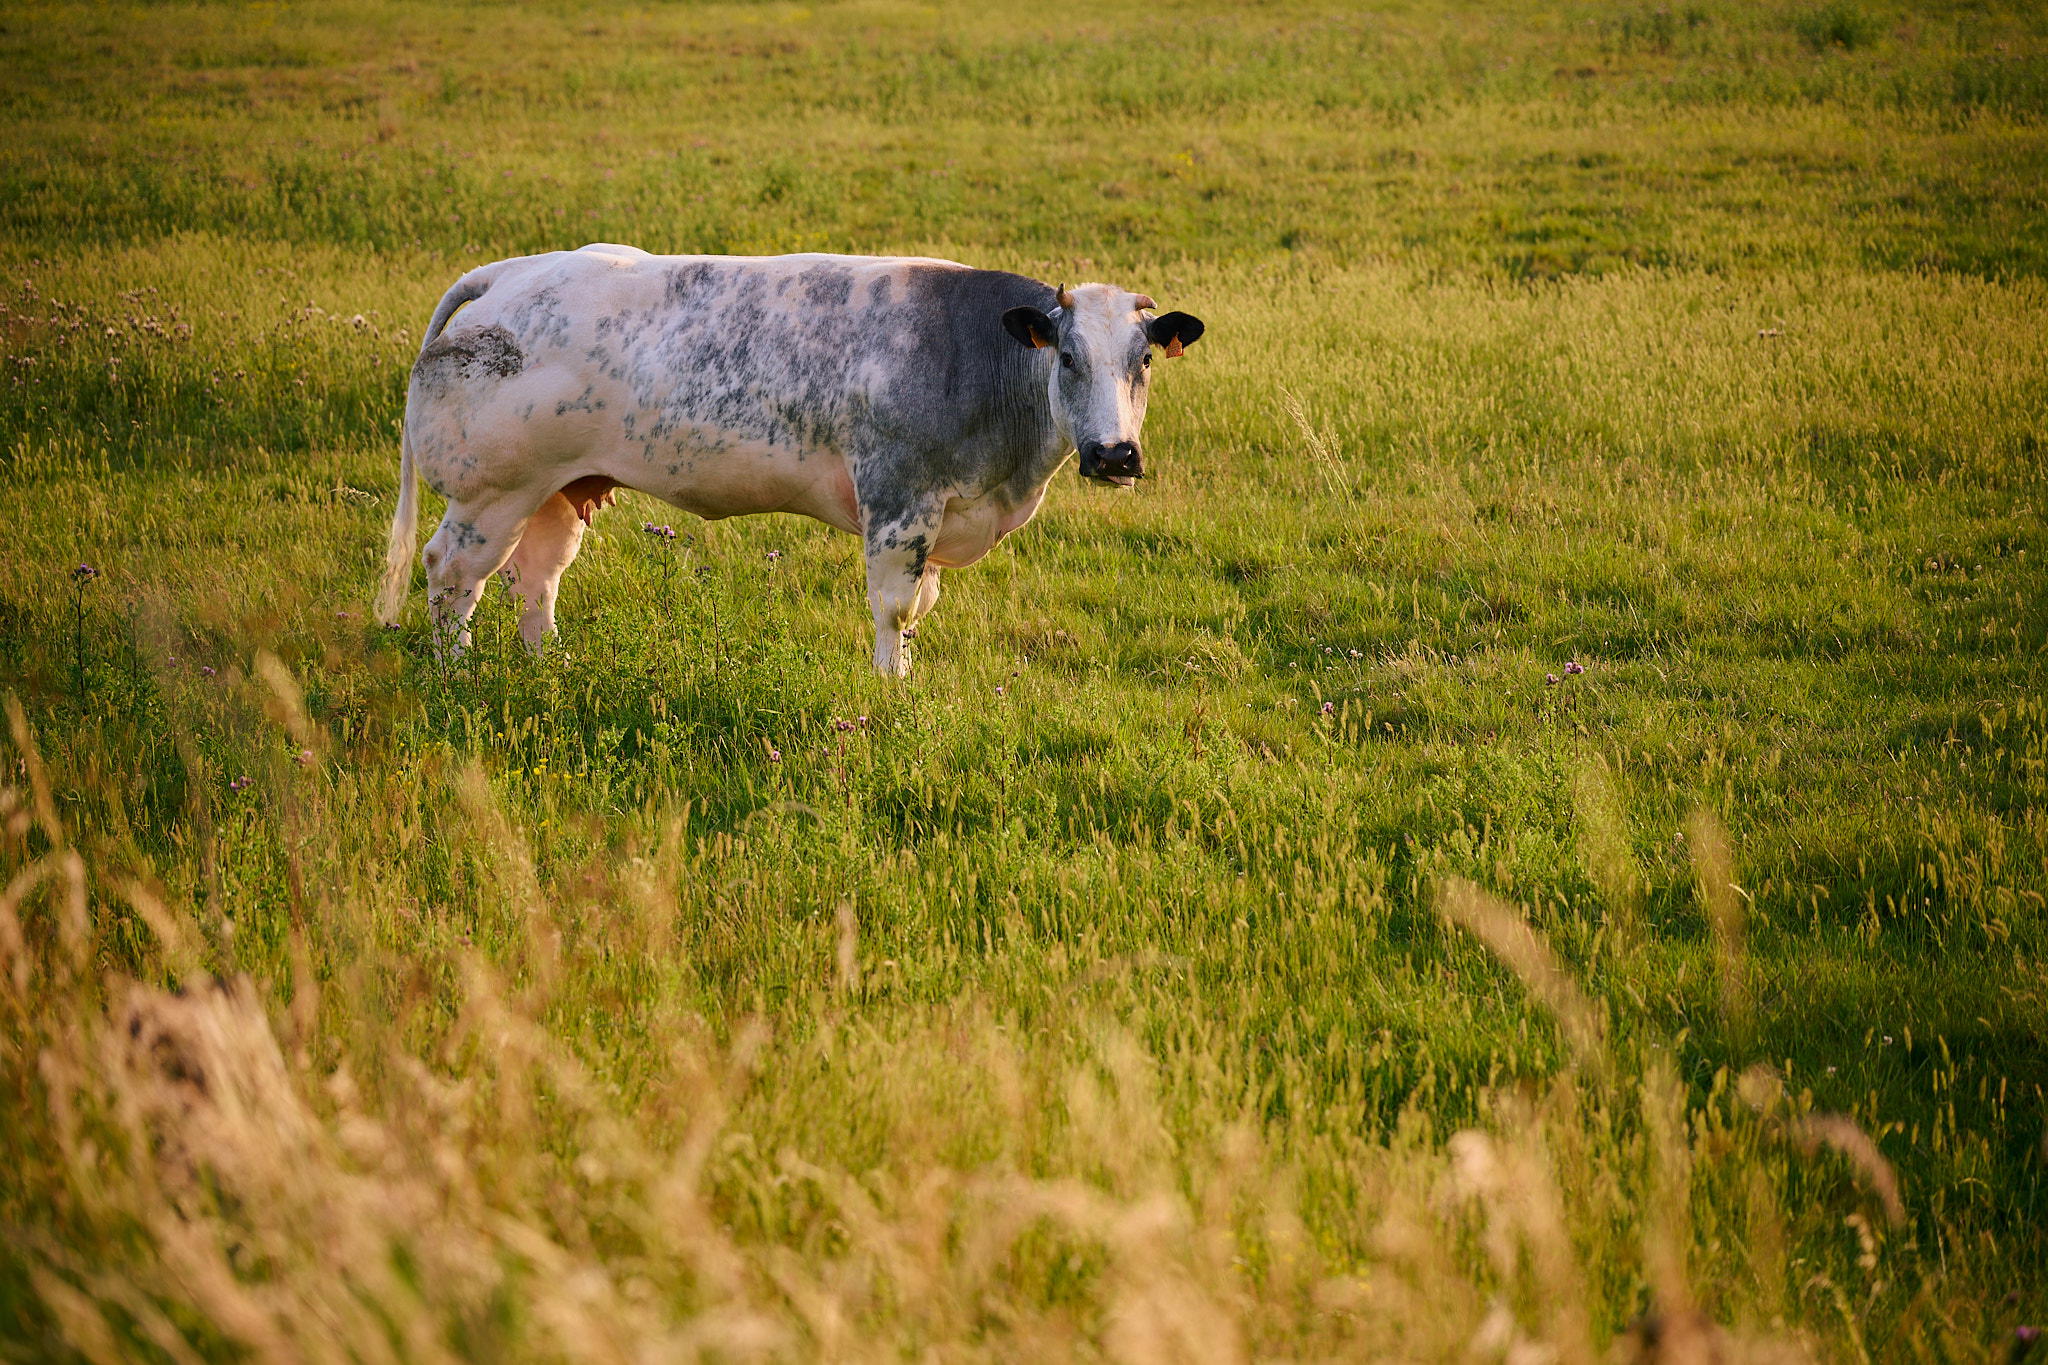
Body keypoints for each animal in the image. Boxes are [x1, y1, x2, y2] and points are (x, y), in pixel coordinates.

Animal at [375, 245, 1206, 676]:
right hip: (490, 494)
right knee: (452, 574)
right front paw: (892, 692)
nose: (1115, 454)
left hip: (557, 488)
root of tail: (511, 272)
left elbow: (919, 611)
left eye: (1143, 362)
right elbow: (895, 609)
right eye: (1066, 357)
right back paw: (457, 673)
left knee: (537, 577)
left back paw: (551, 665)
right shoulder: (898, 503)